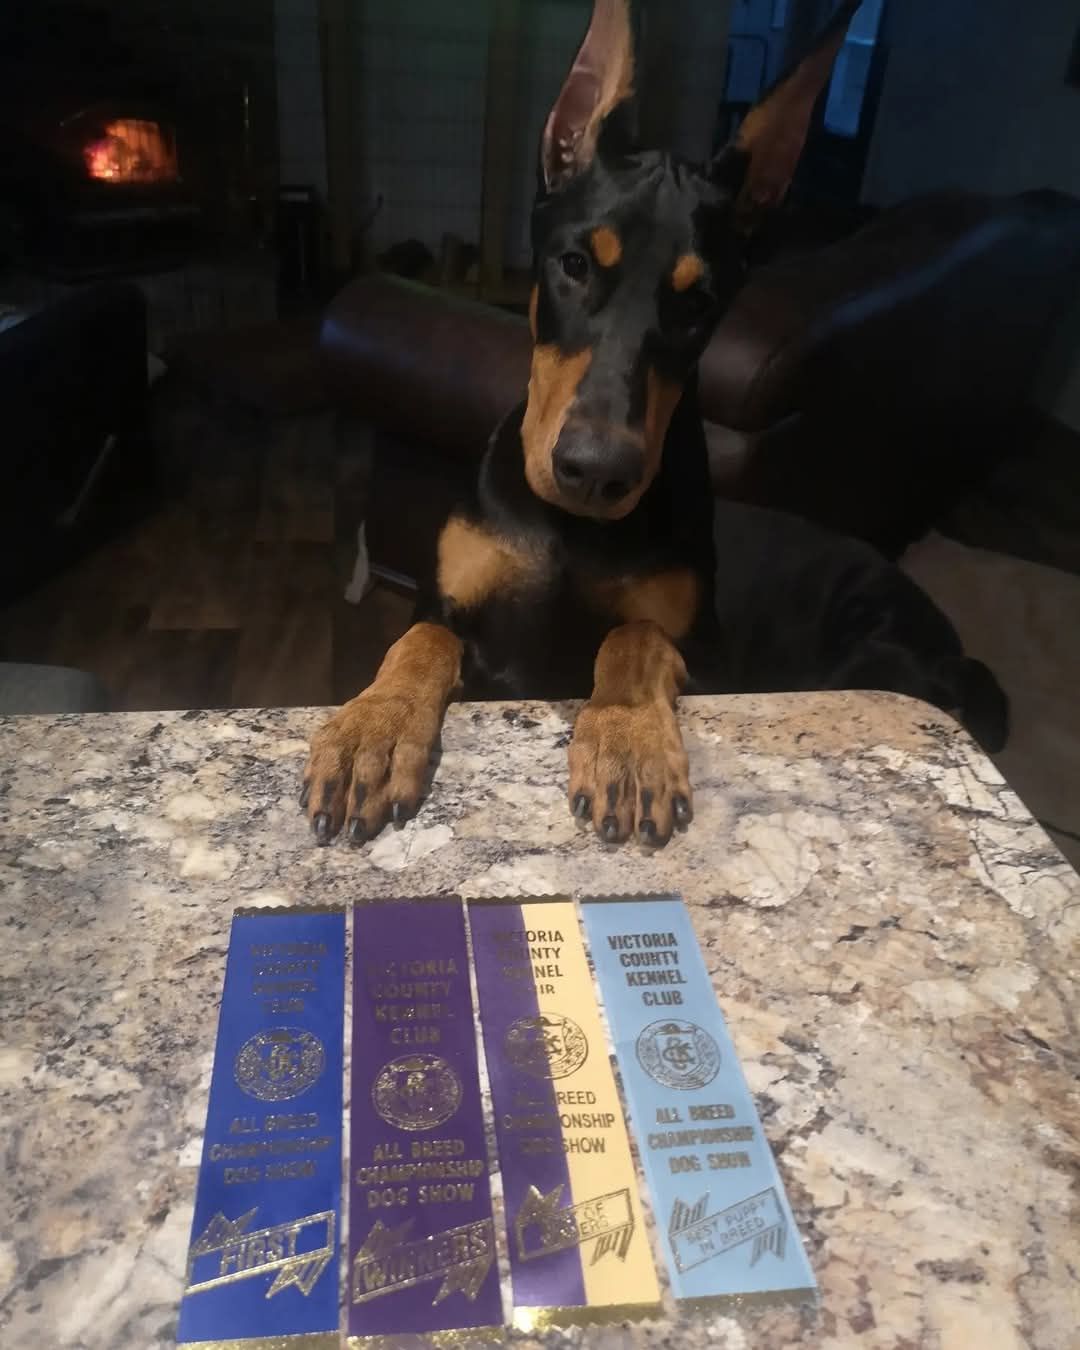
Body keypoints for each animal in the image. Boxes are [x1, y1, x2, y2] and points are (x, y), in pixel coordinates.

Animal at [302, 0, 1007, 849]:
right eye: (574, 265)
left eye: (697, 304)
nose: (594, 472)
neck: (569, 533)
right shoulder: (449, 607)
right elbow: (421, 639)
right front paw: (373, 730)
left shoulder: (709, 660)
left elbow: (635, 635)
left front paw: (627, 742)